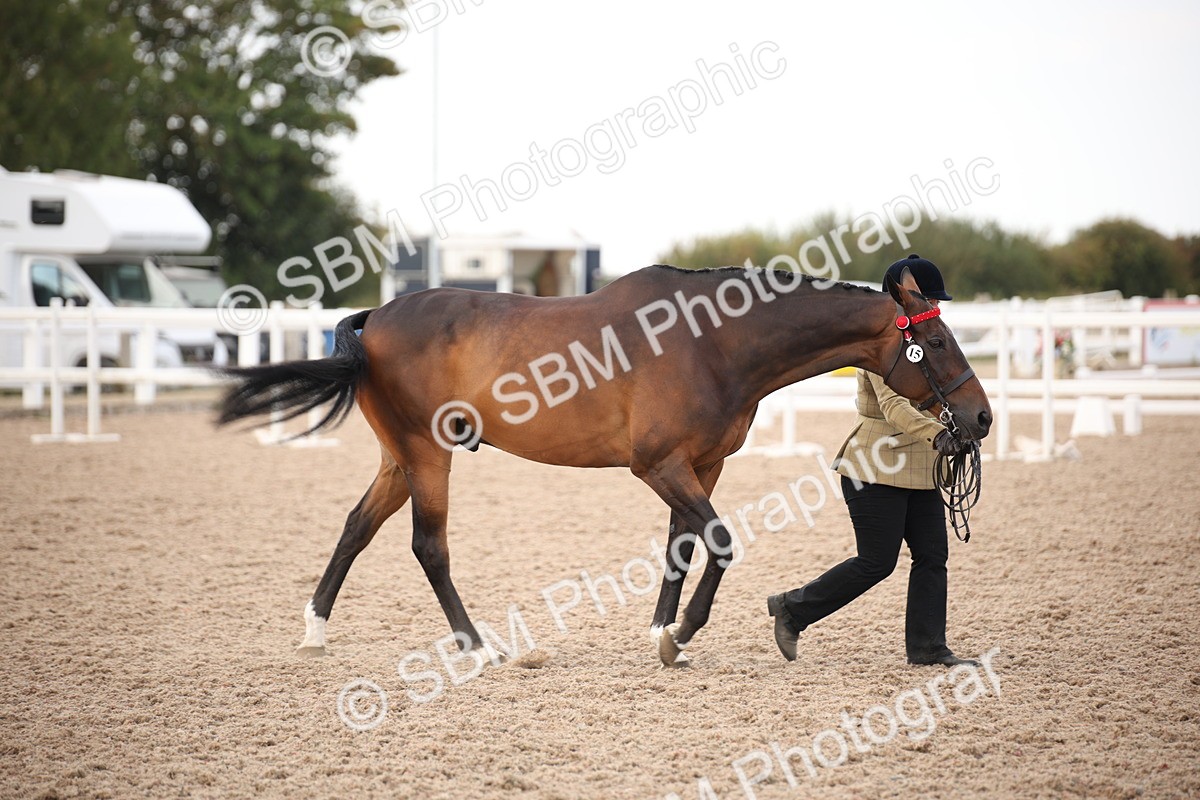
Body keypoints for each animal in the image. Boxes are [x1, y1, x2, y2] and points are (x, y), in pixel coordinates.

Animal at [217, 263, 992, 667]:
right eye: (940, 342)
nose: (981, 419)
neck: (713, 341)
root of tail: (375, 316)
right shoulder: (658, 465)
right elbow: (719, 541)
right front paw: (681, 634)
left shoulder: (701, 467)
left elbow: (682, 546)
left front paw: (662, 635)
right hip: (427, 455)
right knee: (427, 546)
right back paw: (477, 644)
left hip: (398, 459)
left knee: (357, 526)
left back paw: (315, 629)